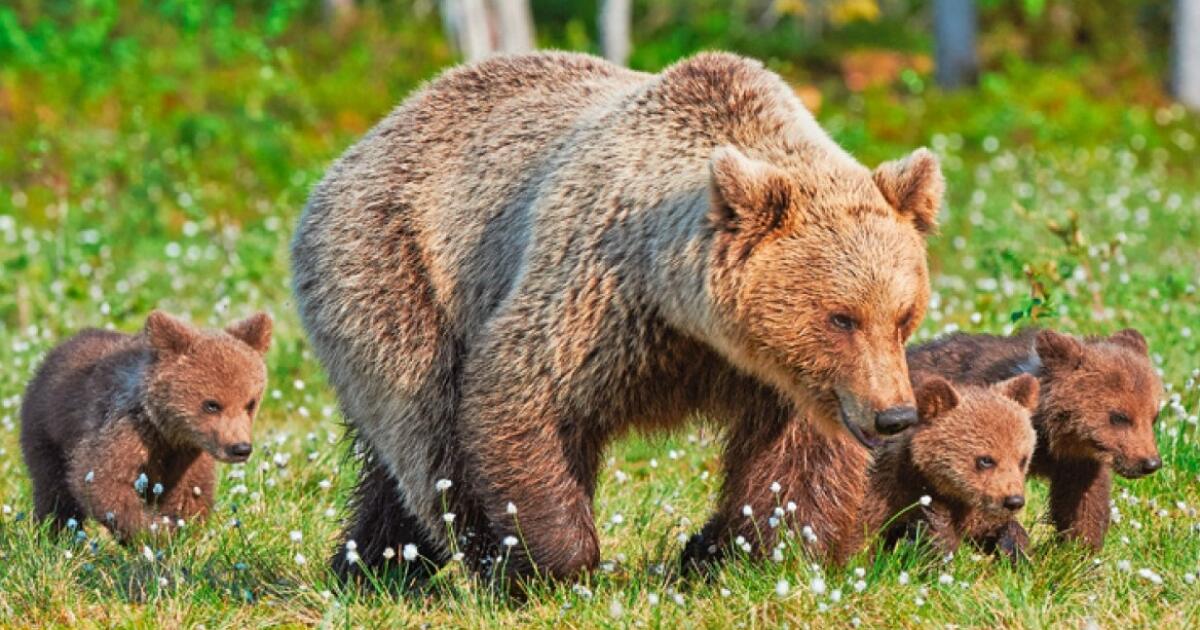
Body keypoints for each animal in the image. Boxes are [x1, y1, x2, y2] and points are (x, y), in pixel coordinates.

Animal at [288, 50, 936, 585]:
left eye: (903, 315)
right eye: (841, 317)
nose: (894, 416)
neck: (692, 322)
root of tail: (369, 139)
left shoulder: (788, 381)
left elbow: (796, 463)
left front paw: (764, 553)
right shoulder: (600, 298)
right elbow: (521, 394)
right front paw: (548, 563)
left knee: (394, 472)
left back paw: (371, 563)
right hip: (396, 270)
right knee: (429, 433)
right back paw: (466, 556)